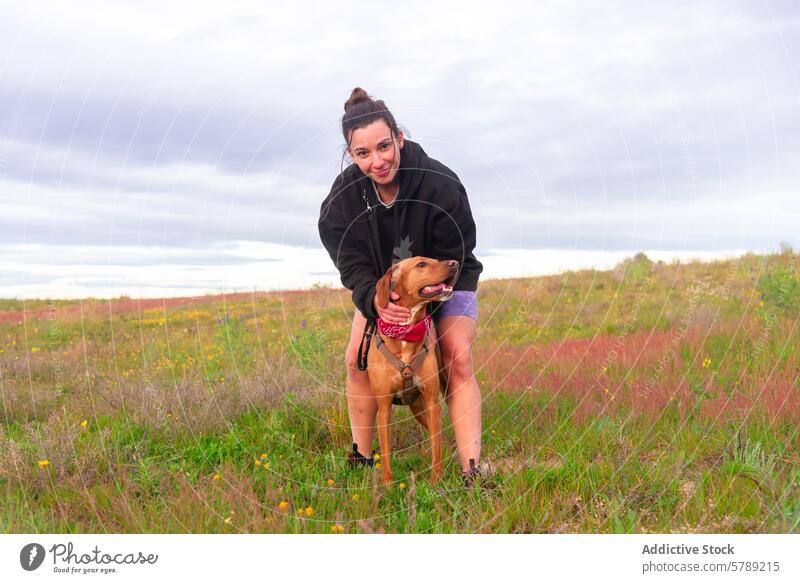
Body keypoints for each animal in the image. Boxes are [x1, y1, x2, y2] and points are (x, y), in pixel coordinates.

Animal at [368, 256, 456, 484]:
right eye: (421, 264)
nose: (455, 262)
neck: (406, 334)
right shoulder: (384, 407)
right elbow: (386, 449)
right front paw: (388, 483)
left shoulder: (432, 402)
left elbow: (436, 444)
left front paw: (436, 480)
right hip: (417, 408)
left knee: (438, 436)